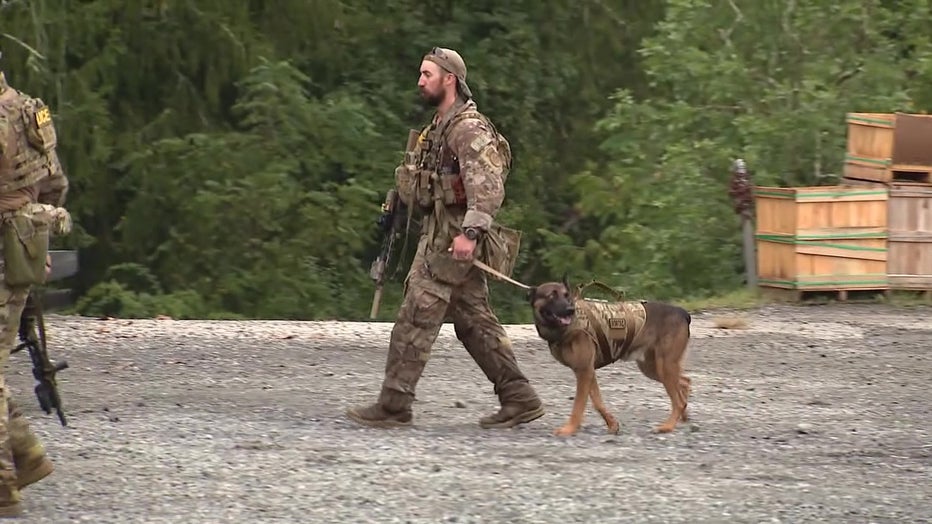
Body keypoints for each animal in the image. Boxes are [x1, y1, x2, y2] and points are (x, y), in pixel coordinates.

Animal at [528, 276, 688, 436]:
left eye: (567, 295)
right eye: (551, 296)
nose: (570, 310)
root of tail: (683, 312)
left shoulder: (584, 371)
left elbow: (578, 405)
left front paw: (570, 428)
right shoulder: (588, 372)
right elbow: (597, 401)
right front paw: (612, 423)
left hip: (663, 366)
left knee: (679, 401)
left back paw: (668, 426)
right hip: (653, 367)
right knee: (684, 383)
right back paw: (684, 416)